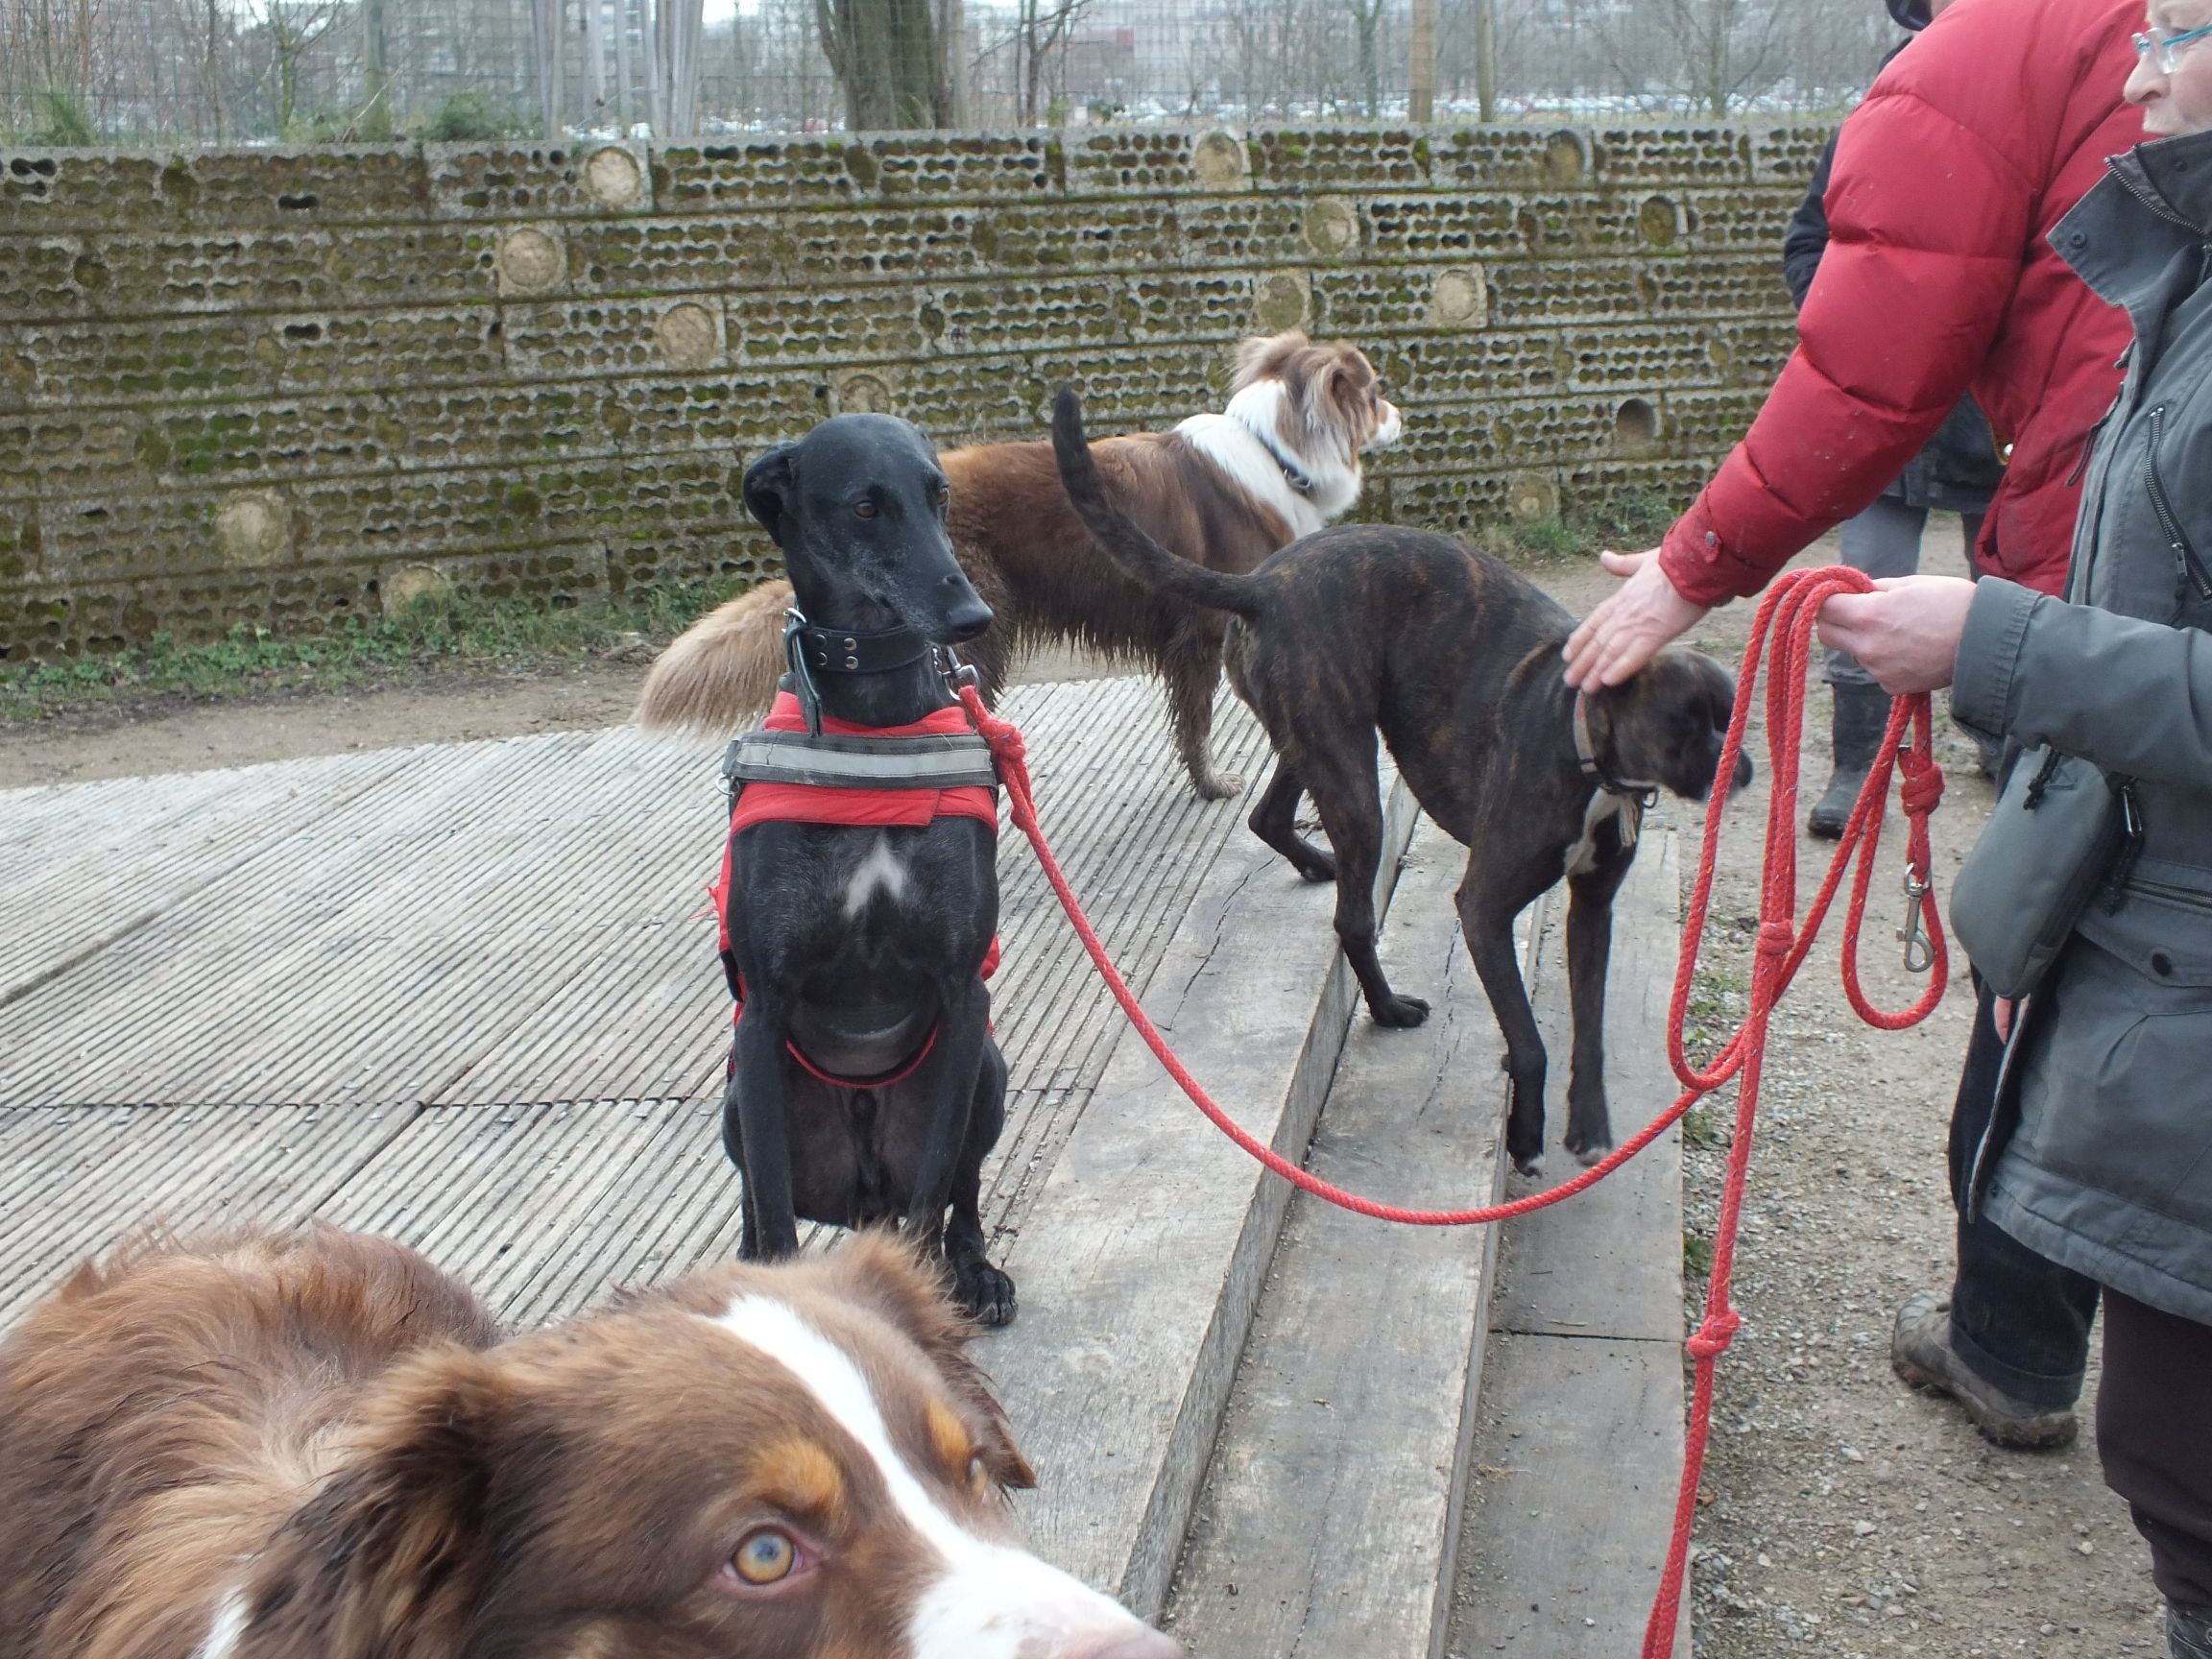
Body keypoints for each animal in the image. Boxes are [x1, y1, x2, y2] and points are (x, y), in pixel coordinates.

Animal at [639, 332, 1402, 800]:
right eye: (1373, 391)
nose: (1401, 414)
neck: (1275, 449)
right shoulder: (1203, 629)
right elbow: (1200, 722)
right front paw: (1213, 786)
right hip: (978, 637)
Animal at [710, 413, 1022, 1327]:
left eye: (940, 493)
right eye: (863, 506)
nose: (969, 614)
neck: (873, 719)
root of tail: (861, 1197)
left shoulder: (963, 992)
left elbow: (935, 1193)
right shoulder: (764, 1006)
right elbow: (775, 1209)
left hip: (985, 1071)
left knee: (957, 1190)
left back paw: (976, 1272)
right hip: (739, 1095)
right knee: (757, 1198)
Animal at [1051, 388, 1751, 1176]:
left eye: (1733, 714)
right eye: (1686, 724)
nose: (1743, 768)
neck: (1586, 748)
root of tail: (1260, 585)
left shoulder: (1592, 912)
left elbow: (1589, 1029)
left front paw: (1589, 1121)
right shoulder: (1483, 912)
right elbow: (1530, 1041)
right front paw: (1526, 1133)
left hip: (1321, 743)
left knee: (1269, 818)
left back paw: (1315, 866)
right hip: (1355, 781)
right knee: (1353, 920)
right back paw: (1385, 1010)